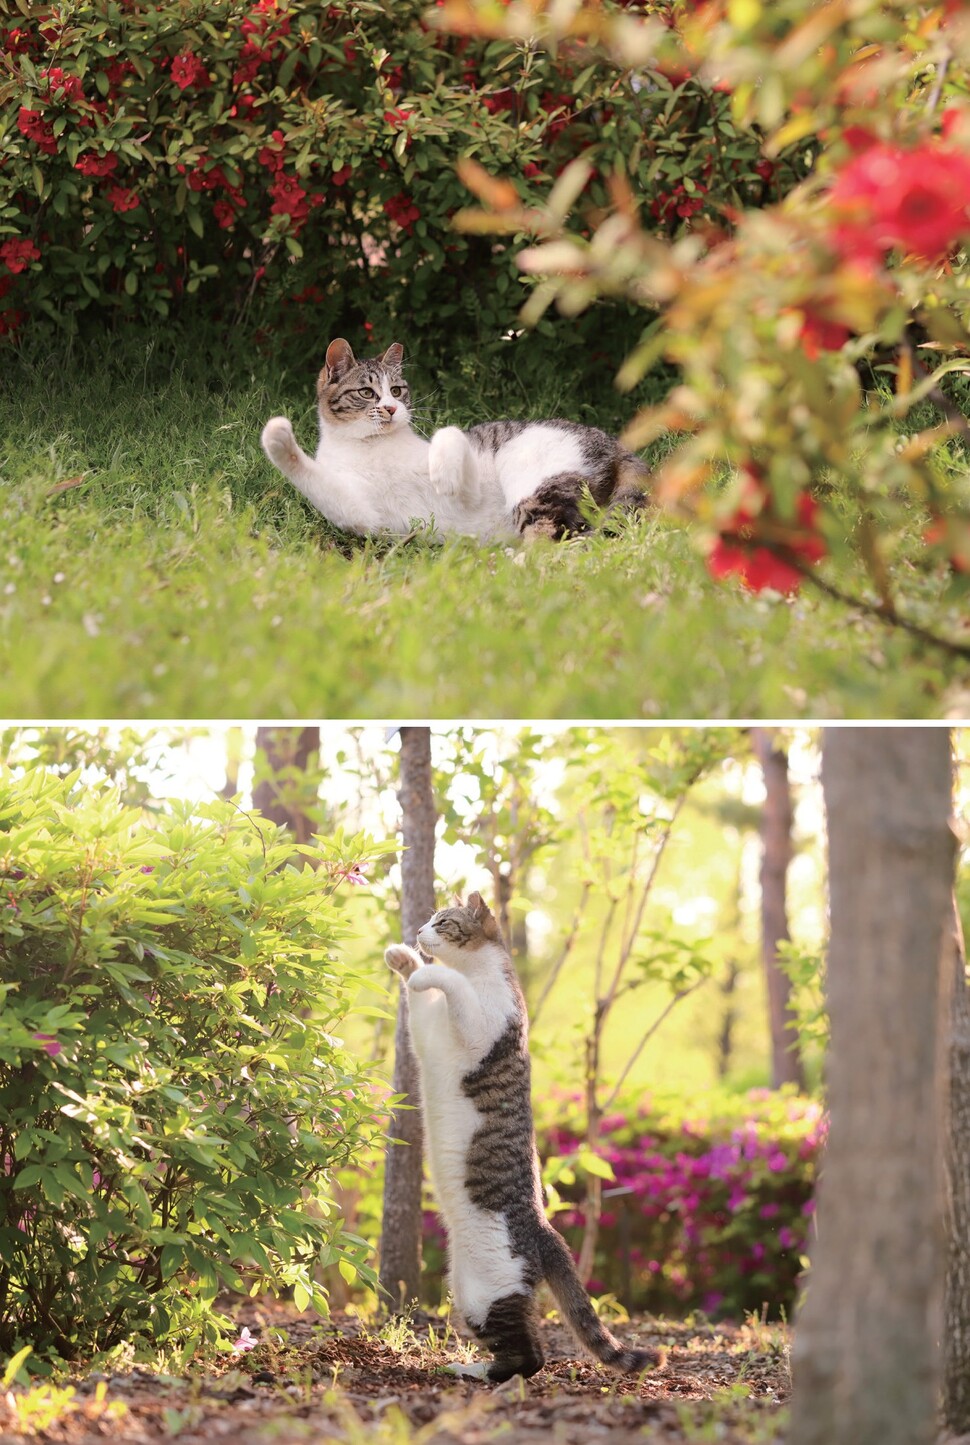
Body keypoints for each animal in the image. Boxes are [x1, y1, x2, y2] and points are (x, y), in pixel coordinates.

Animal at [261, 338, 647, 543]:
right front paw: (276, 435)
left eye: (397, 390)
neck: (373, 445)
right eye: (367, 392)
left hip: (533, 475)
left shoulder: (468, 484)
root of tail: (616, 444)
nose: (391, 408)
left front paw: (442, 473)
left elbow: (449, 434)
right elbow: (319, 484)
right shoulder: (361, 514)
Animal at [384, 890, 664, 1387]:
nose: (417, 930)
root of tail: (543, 1231)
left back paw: (476, 1370)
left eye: (443, 921)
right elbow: (419, 1007)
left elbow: (449, 985)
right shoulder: (427, 1033)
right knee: (519, 1352)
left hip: (490, 1287)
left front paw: (425, 971)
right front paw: (404, 960)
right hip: (468, 1289)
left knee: (530, 1357)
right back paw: (471, 1365)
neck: (476, 972)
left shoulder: (481, 1025)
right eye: (428, 920)